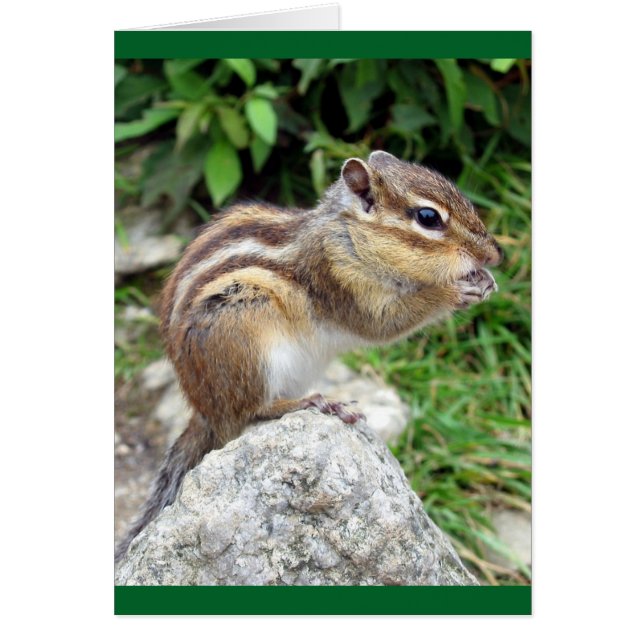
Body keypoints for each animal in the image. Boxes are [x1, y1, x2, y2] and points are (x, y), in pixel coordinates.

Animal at [115, 150, 502, 562]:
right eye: (428, 217)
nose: (496, 253)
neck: (349, 237)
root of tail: (204, 410)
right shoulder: (337, 278)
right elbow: (384, 323)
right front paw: (453, 291)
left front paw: (485, 281)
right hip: (245, 335)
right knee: (250, 413)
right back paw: (315, 403)